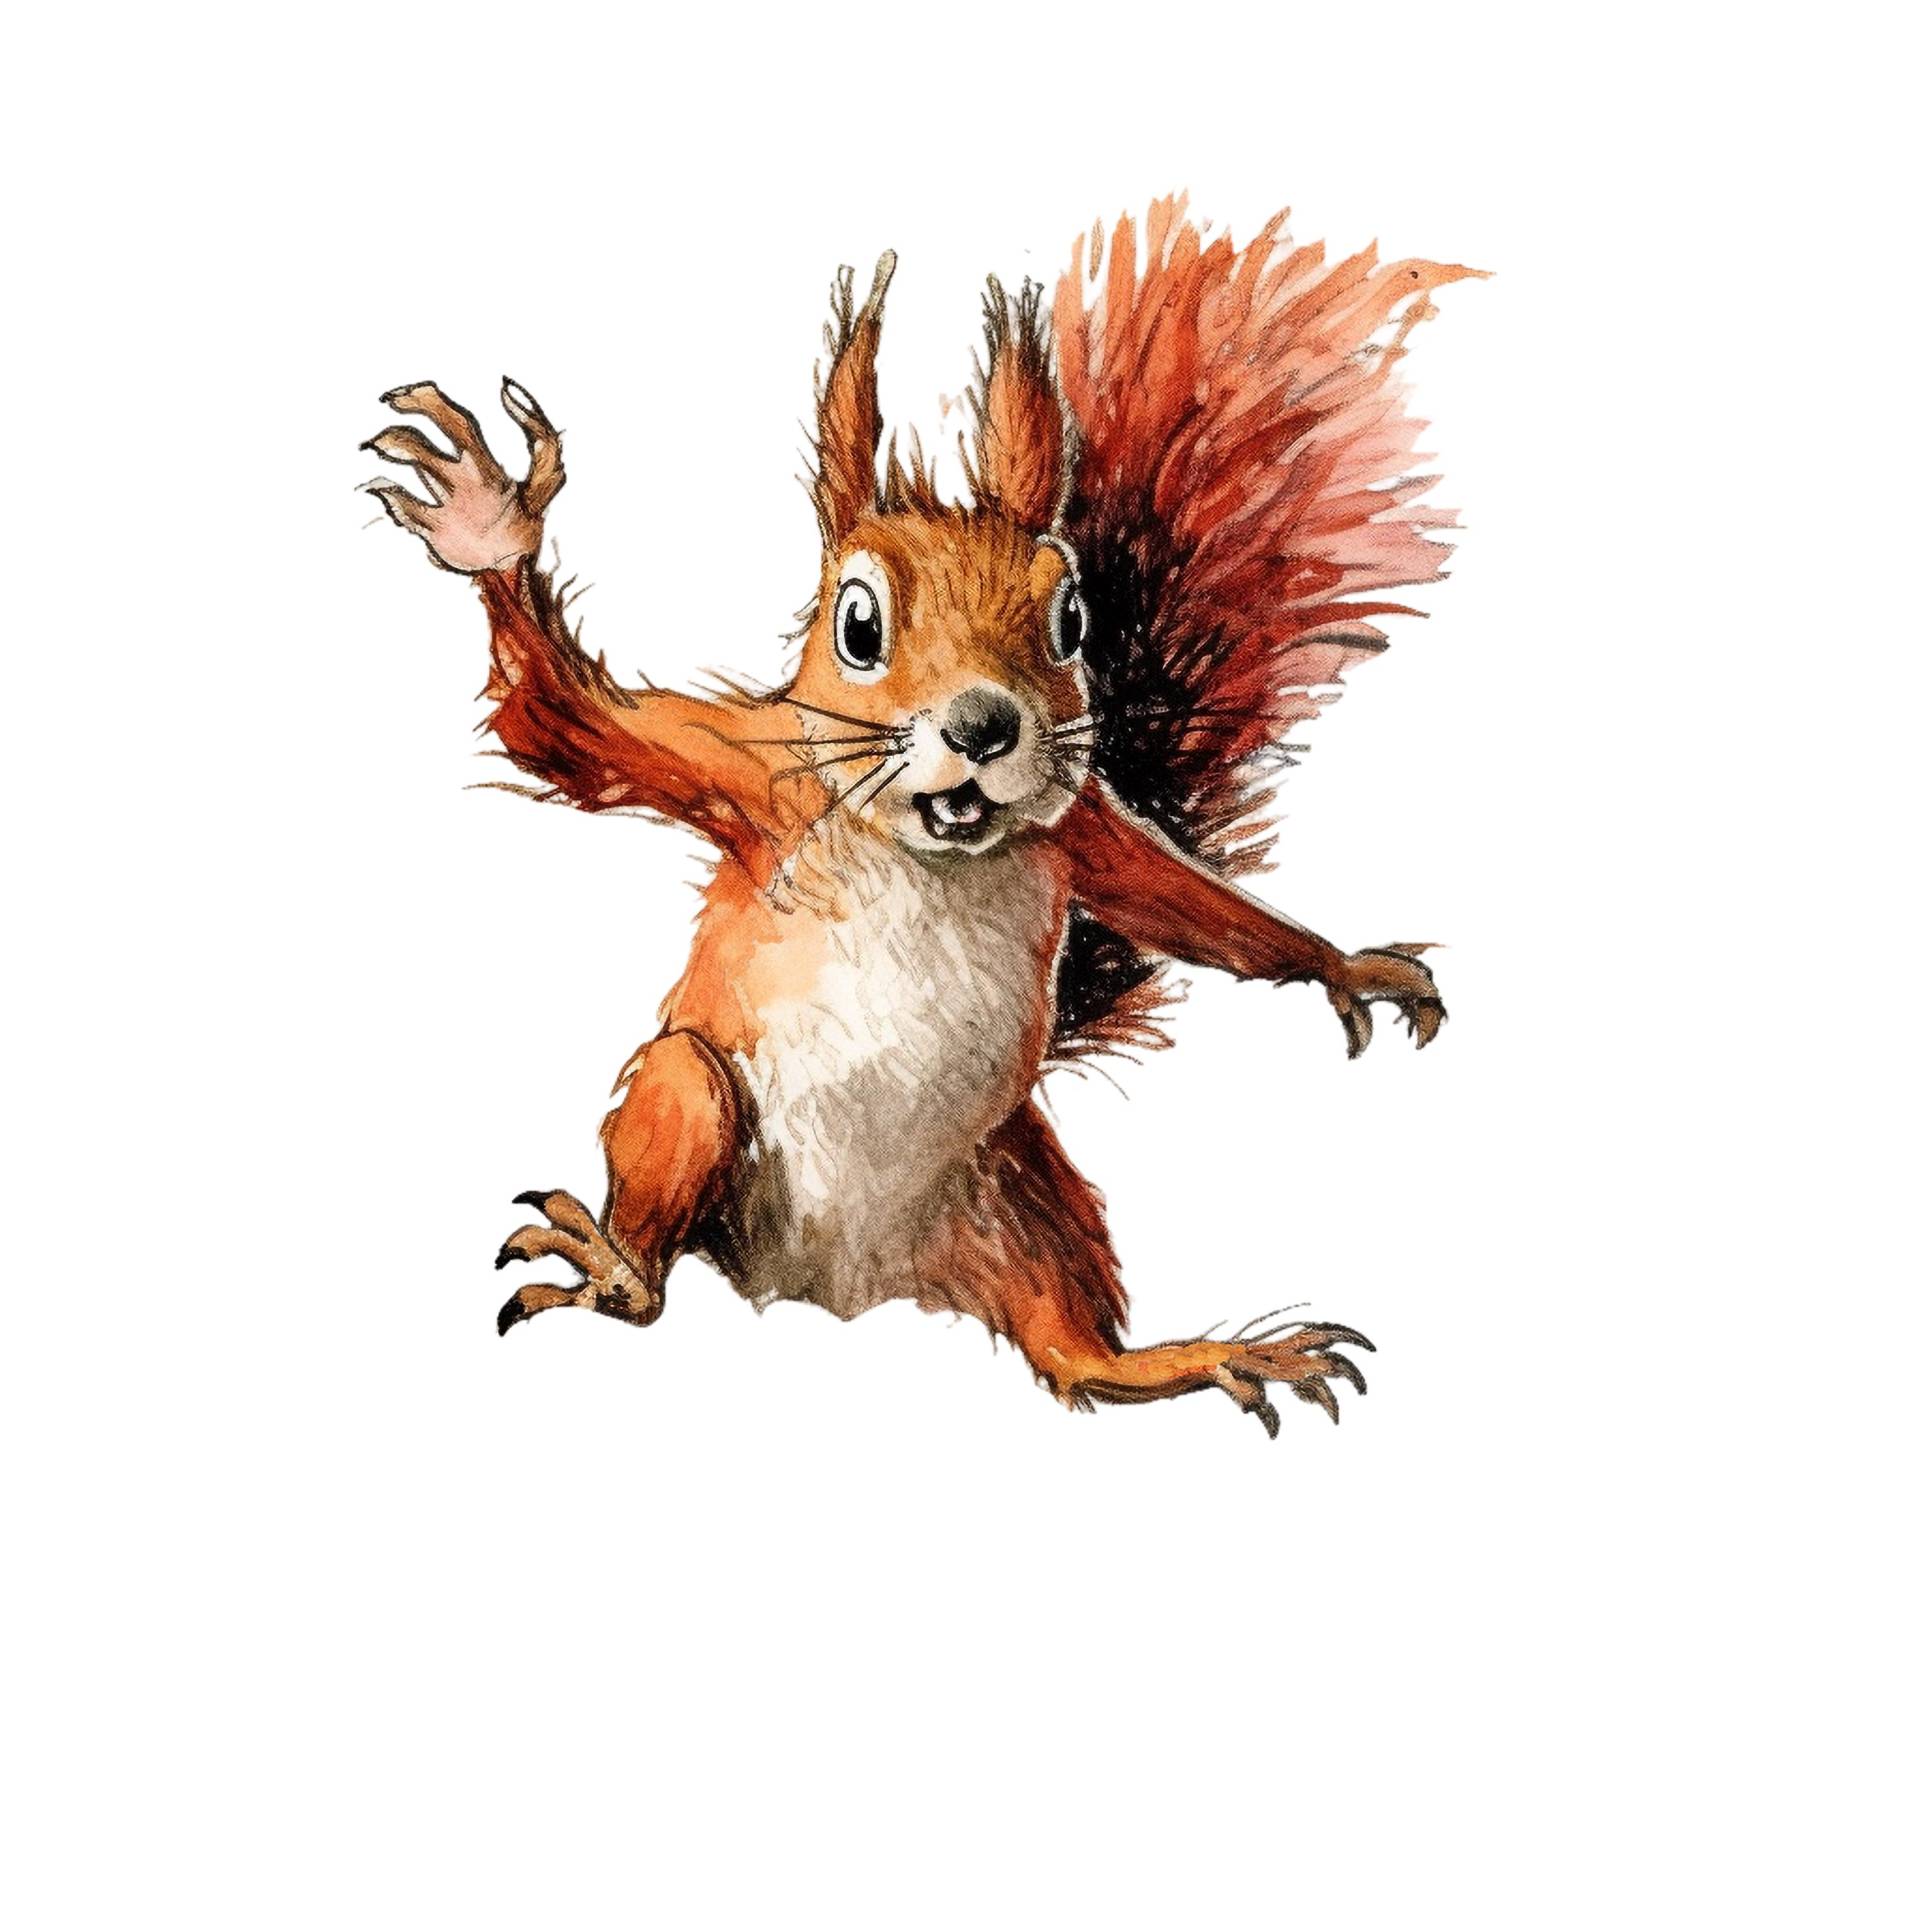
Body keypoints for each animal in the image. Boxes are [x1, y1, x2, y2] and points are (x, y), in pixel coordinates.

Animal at [363, 196, 1478, 1438]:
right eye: (858, 623)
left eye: (1073, 618)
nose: (986, 724)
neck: (926, 846)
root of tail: (836, 1285)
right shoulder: (742, 770)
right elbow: (565, 728)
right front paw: (489, 521)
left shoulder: (1082, 829)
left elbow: (1182, 902)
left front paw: (1348, 965)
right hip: (691, 1094)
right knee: (665, 1220)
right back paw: (615, 1268)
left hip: (1025, 1186)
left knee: (1073, 1356)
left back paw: (1195, 1357)